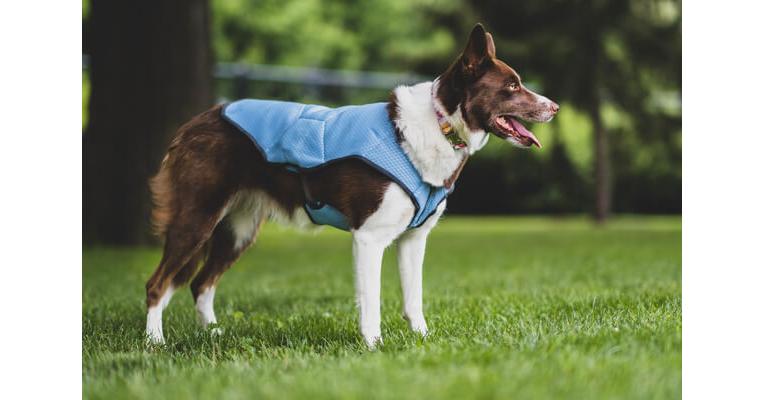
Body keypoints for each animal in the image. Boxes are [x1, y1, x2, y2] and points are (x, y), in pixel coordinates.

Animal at [146, 22, 560, 346]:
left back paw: (211, 334)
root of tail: (193, 123)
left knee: (200, 283)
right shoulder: (369, 237)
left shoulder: (414, 238)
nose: (554, 107)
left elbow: (414, 297)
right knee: (158, 284)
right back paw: (155, 343)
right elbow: (372, 299)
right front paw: (374, 346)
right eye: (512, 87)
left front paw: (422, 340)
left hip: (238, 229)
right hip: (197, 217)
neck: (440, 123)